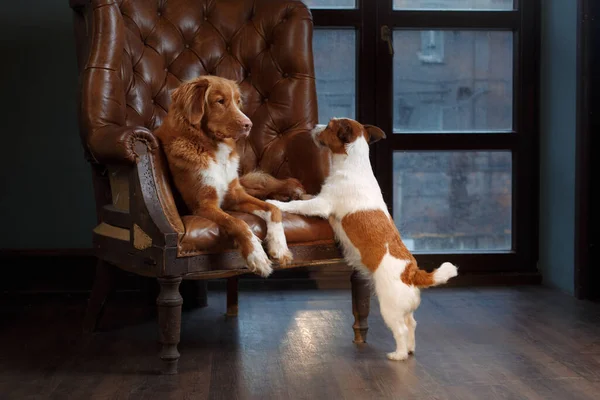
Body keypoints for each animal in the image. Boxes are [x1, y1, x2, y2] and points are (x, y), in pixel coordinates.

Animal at [268, 117, 460, 360]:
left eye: (329, 126)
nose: (314, 126)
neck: (354, 164)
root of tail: (412, 273)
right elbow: (304, 198)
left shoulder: (321, 204)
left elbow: (298, 205)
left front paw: (276, 202)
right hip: (405, 309)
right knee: (412, 325)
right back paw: (410, 349)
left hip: (390, 308)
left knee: (401, 329)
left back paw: (398, 354)